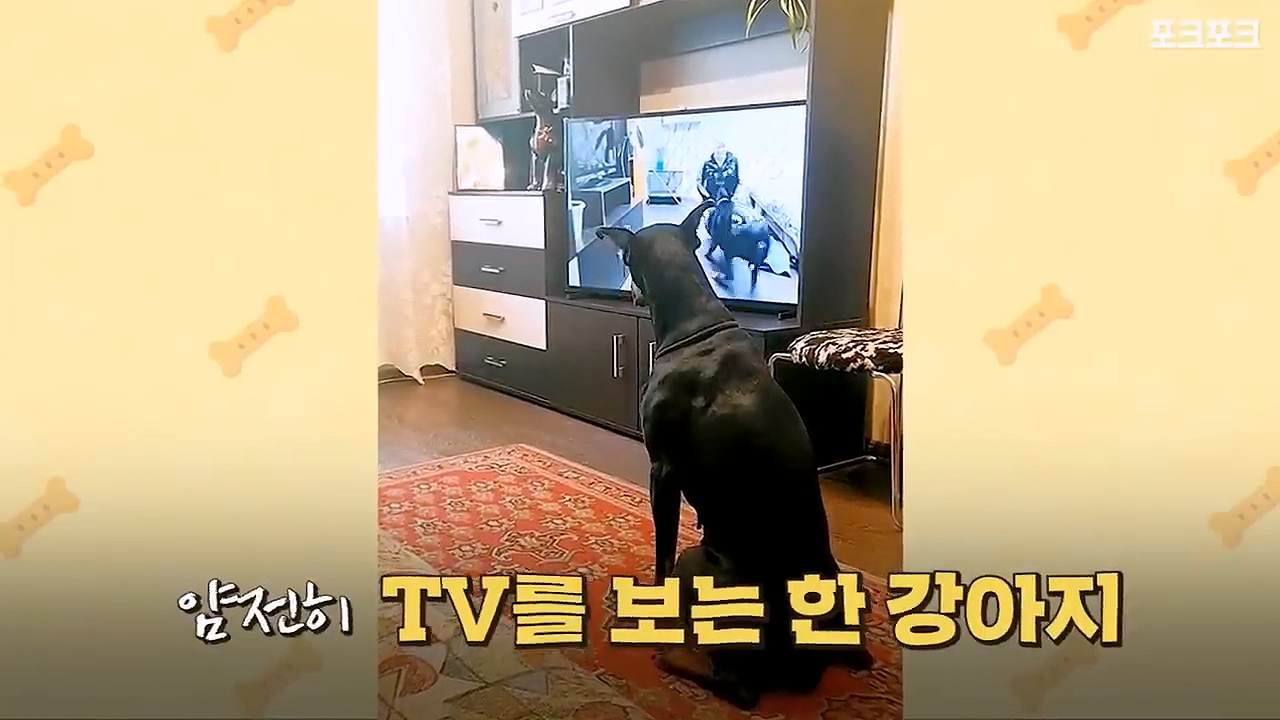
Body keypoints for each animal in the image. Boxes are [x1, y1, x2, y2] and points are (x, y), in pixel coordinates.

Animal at [596, 202, 872, 710]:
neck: (694, 322)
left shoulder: (662, 472)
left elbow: (662, 554)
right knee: (857, 654)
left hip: (700, 562)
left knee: (735, 685)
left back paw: (668, 652)